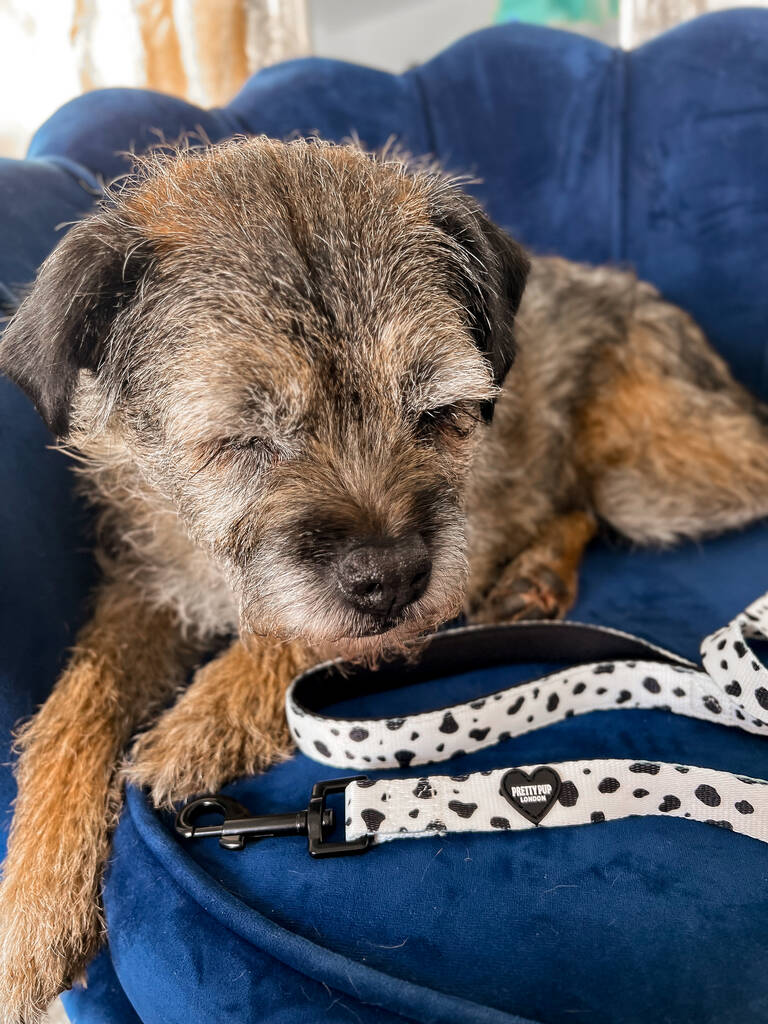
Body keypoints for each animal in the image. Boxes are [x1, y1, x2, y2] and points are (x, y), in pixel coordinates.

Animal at [0, 138, 768, 1024]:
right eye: (242, 439)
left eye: (435, 414)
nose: (394, 577)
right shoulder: (149, 583)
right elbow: (78, 704)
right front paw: (33, 899)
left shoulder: (463, 542)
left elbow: (293, 637)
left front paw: (206, 716)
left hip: (653, 474)